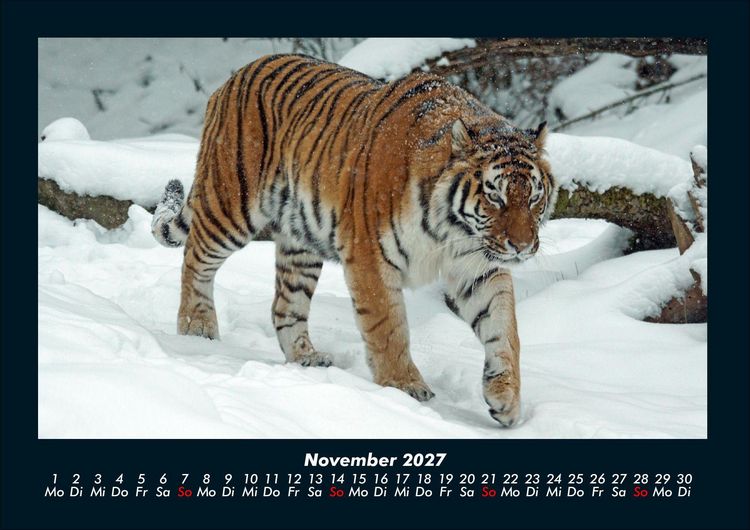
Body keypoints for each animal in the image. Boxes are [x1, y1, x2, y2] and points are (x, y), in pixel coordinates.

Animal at [151, 54, 556, 427]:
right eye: (495, 196)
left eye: (534, 197)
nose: (522, 247)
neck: (453, 231)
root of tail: (235, 75)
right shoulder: (370, 257)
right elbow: (388, 327)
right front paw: (404, 387)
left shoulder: (479, 267)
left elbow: (504, 329)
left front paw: (506, 398)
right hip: (231, 204)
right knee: (195, 259)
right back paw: (196, 329)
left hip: (300, 242)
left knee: (285, 305)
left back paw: (307, 358)